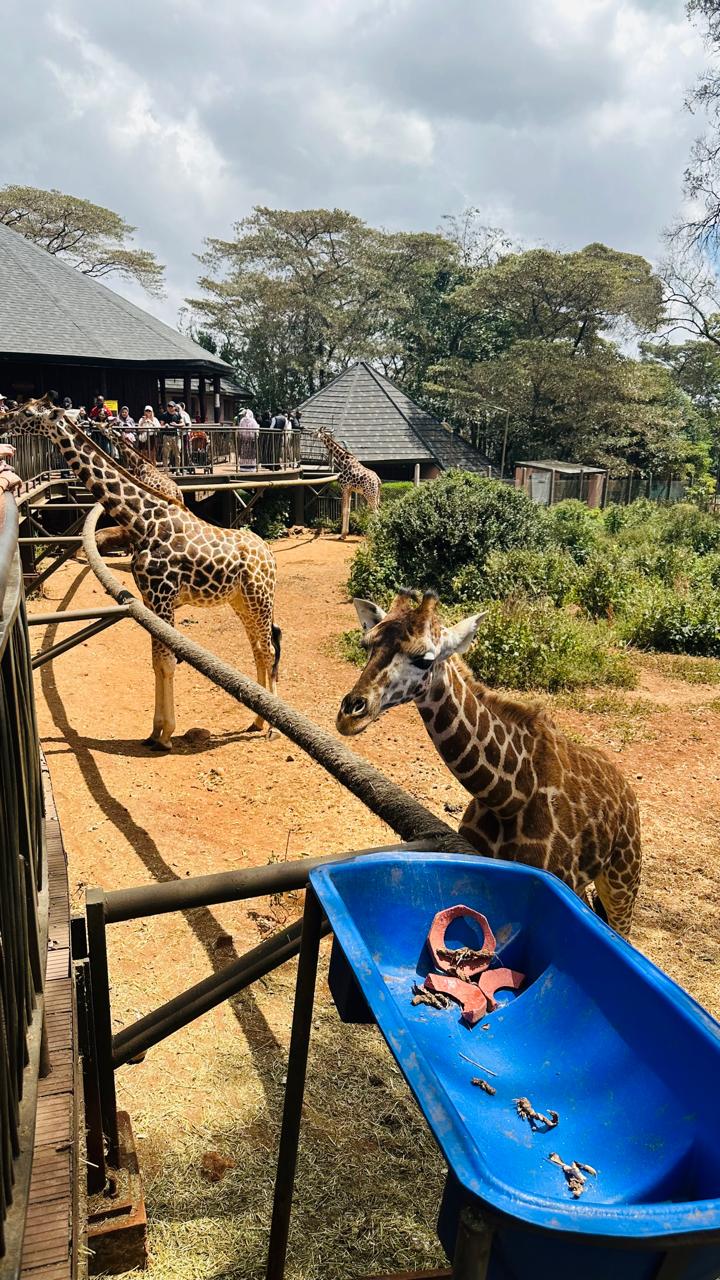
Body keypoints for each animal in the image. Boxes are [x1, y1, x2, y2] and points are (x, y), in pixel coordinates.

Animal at [8, 397, 281, 749]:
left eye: (27, 413)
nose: (5, 418)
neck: (140, 520)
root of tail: (269, 555)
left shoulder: (163, 596)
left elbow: (166, 661)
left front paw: (165, 734)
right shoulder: (150, 600)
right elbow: (155, 661)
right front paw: (154, 731)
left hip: (260, 598)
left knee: (268, 649)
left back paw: (271, 726)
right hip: (241, 602)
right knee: (259, 650)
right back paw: (258, 721)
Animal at [336, 590, 641, 937]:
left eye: (424, 659)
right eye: (367, 645)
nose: (350, 715)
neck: (507, 796)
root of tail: (627, 791)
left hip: (623, 879)